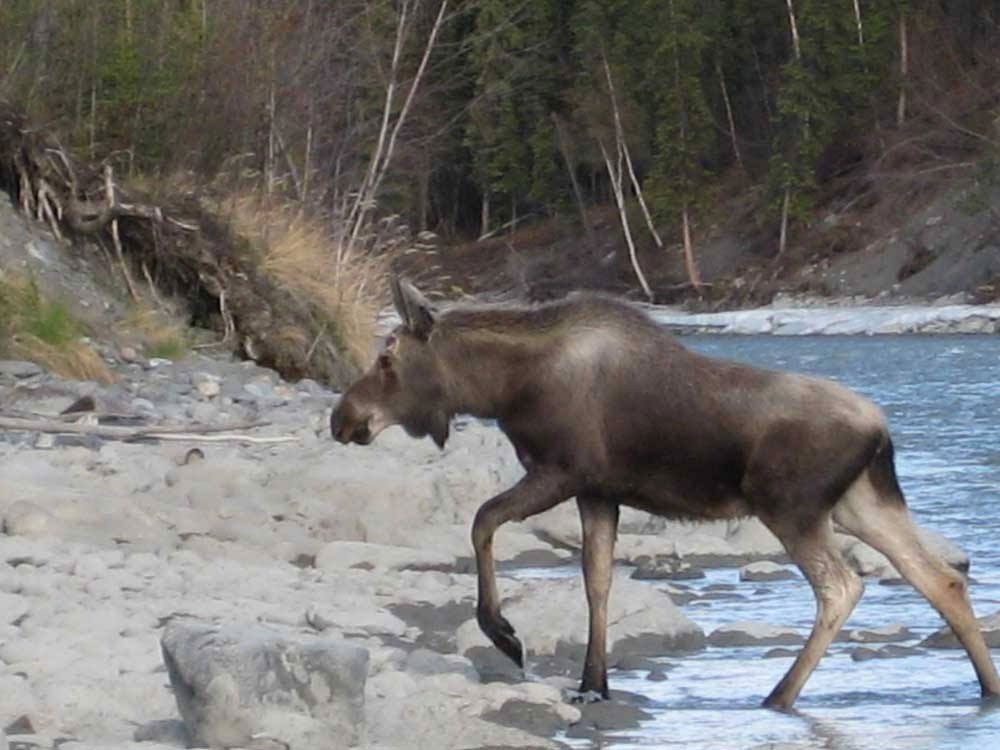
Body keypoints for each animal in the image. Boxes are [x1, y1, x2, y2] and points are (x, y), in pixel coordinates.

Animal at [330, 277, 1000, 709]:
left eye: (387, 359)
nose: (342, 418)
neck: (500, 389)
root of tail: (881, 431)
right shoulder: (599, 490)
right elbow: (596, 579)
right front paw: (593, 683)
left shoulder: (561, 471)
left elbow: (482, 520)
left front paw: (504, 633)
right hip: (863, 504)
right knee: (939, 577)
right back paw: (987, 687)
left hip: (792, 507)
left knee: (842, 586)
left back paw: (778, 695)